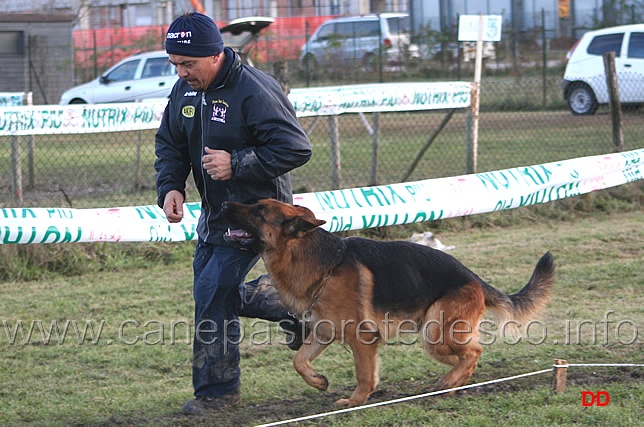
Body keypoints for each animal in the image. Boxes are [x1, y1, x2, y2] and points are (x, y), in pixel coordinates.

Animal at [223, 201, 552, 408]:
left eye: (259, 210)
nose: (224, 205)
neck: (319, 262)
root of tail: (474, 278)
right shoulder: (324, 332)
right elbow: (299, 361)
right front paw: (318, 382)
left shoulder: (361, 339)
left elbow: (364, 374)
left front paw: (355, 401)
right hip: (436, 339)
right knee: (467, 355)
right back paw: (451, 383)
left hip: (435, 333)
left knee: (474, 351)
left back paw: (448, 382)